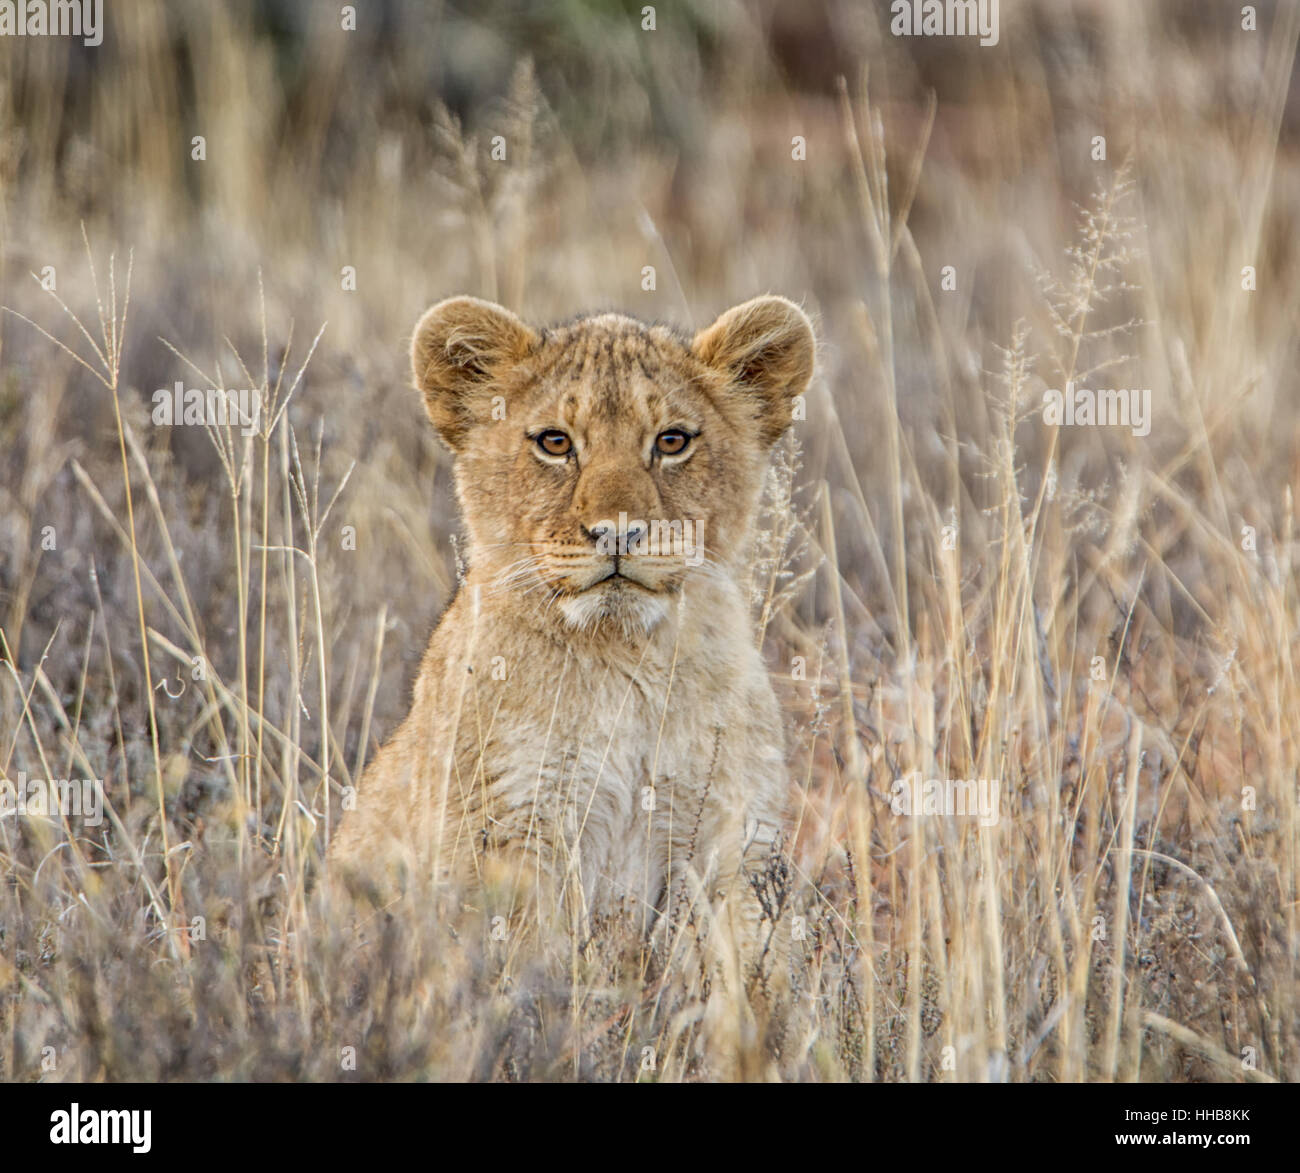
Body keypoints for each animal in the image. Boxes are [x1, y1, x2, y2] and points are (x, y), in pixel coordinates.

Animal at [329, 294, 815, 1061]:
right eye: (555, 443)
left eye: (672, 440)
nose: (618, 530)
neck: (627, 661)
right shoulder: (511, 834)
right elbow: (517, 977)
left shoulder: (730, 839)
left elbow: (751, 985)